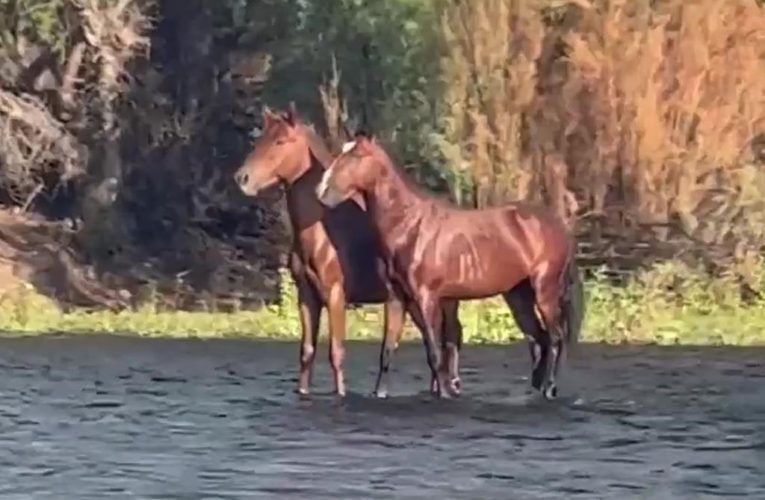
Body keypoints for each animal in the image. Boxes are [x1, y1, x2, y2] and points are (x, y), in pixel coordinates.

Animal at [233, 105, 462, 398]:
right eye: (260, 140)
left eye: (281, 141)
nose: (242, 178)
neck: (325, 228)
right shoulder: (307, 296)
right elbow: (307, 352)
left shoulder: (335, 295)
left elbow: (336, 352)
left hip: (442, 301)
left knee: (449, 341)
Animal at [316, 132, 584, 398]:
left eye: (356, 156)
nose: (322, 190)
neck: (410, 225)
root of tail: (560, 227)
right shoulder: (396, 298)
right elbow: (388, 348)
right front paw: (379, 393)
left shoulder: (426, 298)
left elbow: (435, 351)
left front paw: (445, 392)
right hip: (518, 296)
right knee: (540, 338)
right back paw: (537, 387)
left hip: (545, 290)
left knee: (556, 337)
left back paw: (549, 388)